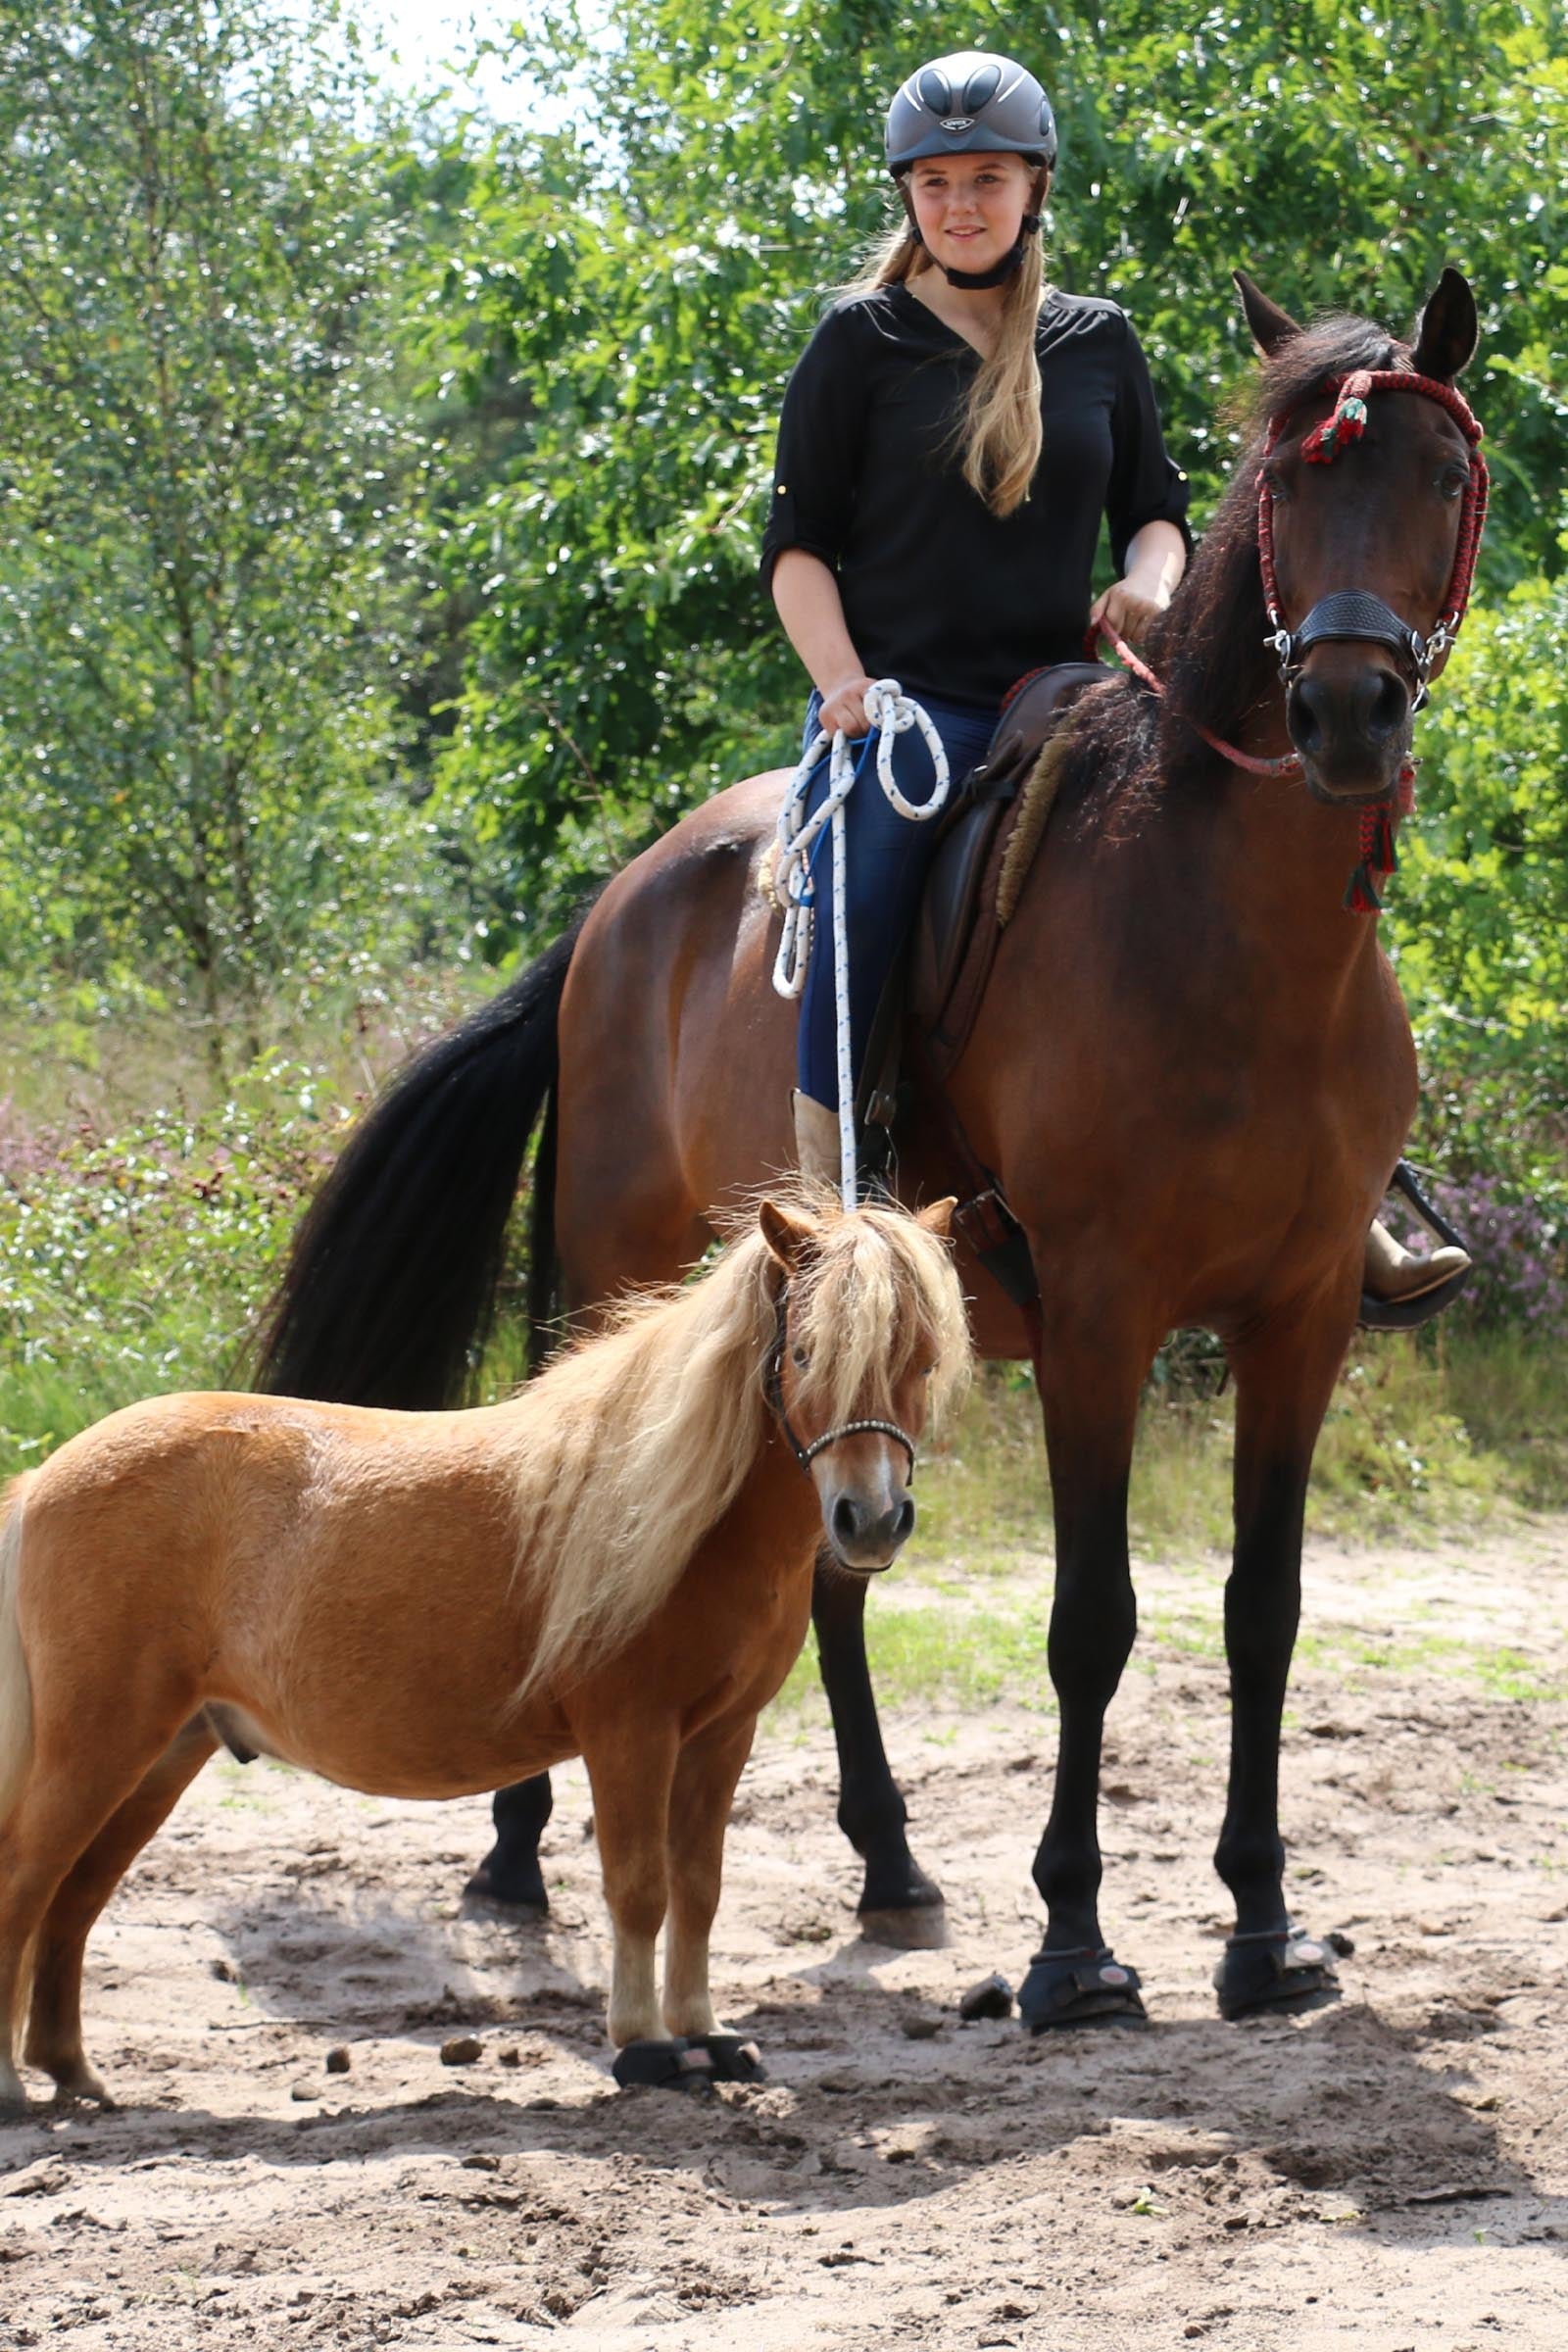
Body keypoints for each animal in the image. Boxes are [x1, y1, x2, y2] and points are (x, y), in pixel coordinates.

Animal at [0, 1194, 968, 2110]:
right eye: (804, 1353)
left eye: (922, 1360)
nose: (870, 1520)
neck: (680, 1521)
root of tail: (44, 1479)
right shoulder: (630, 1734)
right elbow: (639, 1888)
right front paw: (647, 2047)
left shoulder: (721, 1737)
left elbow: (699, 1887)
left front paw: (707, 2034)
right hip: (100, 1748)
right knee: (27, 1881)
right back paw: (17, 2087)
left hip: (166, 1752)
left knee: (74, 1900)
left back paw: (72, 2071)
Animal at [257, 267, 1487, 2027]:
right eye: (1292, 487)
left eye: (1441, 478)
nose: (1344, 708)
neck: (1232, 933)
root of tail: (617, 905)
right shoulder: (1103, 1317)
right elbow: (1093, 1620)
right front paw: (1074, 1947)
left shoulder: (1305, 1313)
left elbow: (1264, 1613)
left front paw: (1263, 1931)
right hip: (614, 1266)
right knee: (577, 1490)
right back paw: (513, 1857)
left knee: (826, 1569)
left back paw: (891, 1862)